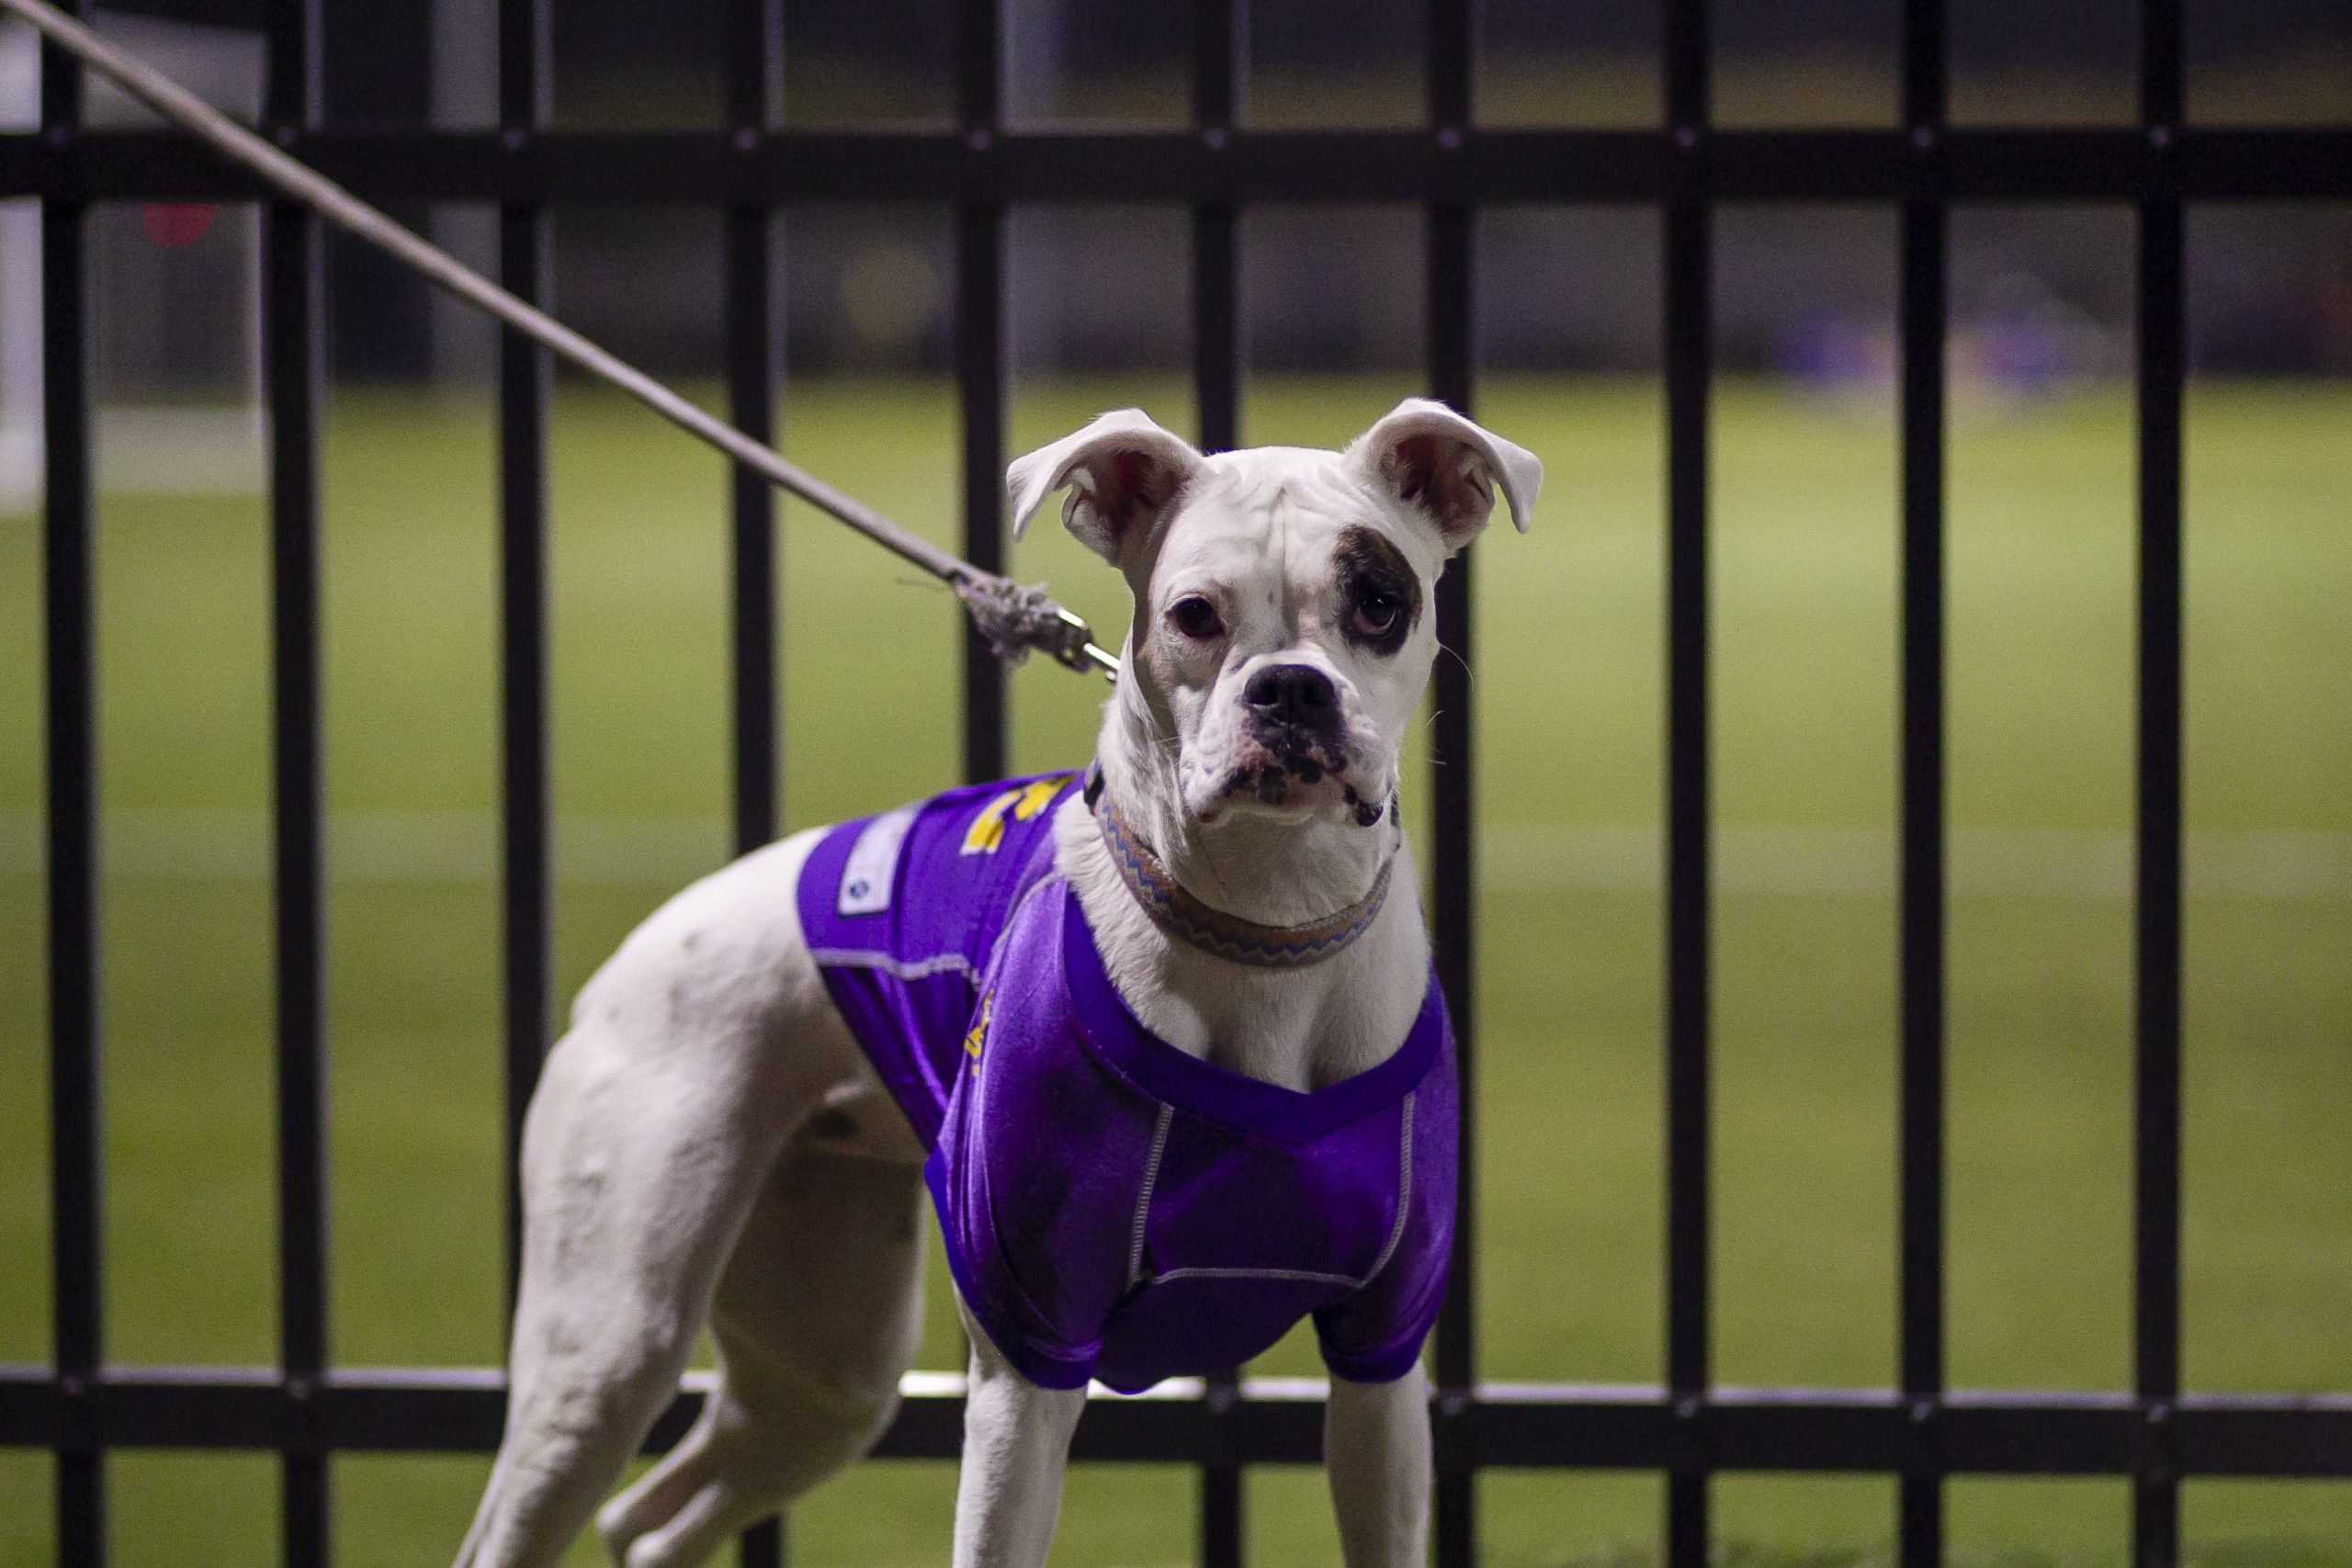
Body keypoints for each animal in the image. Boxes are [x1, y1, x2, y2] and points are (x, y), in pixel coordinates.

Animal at [454, 400, 1543, 1561]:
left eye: (1379, 601)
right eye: (1194, 614)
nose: (1288, 686)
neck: (1265, 929)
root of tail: (630, 958)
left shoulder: (1381, 1368)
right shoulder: (1029, 1357)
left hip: (825, 1364)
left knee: (654, 1520)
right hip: (607, 1351)